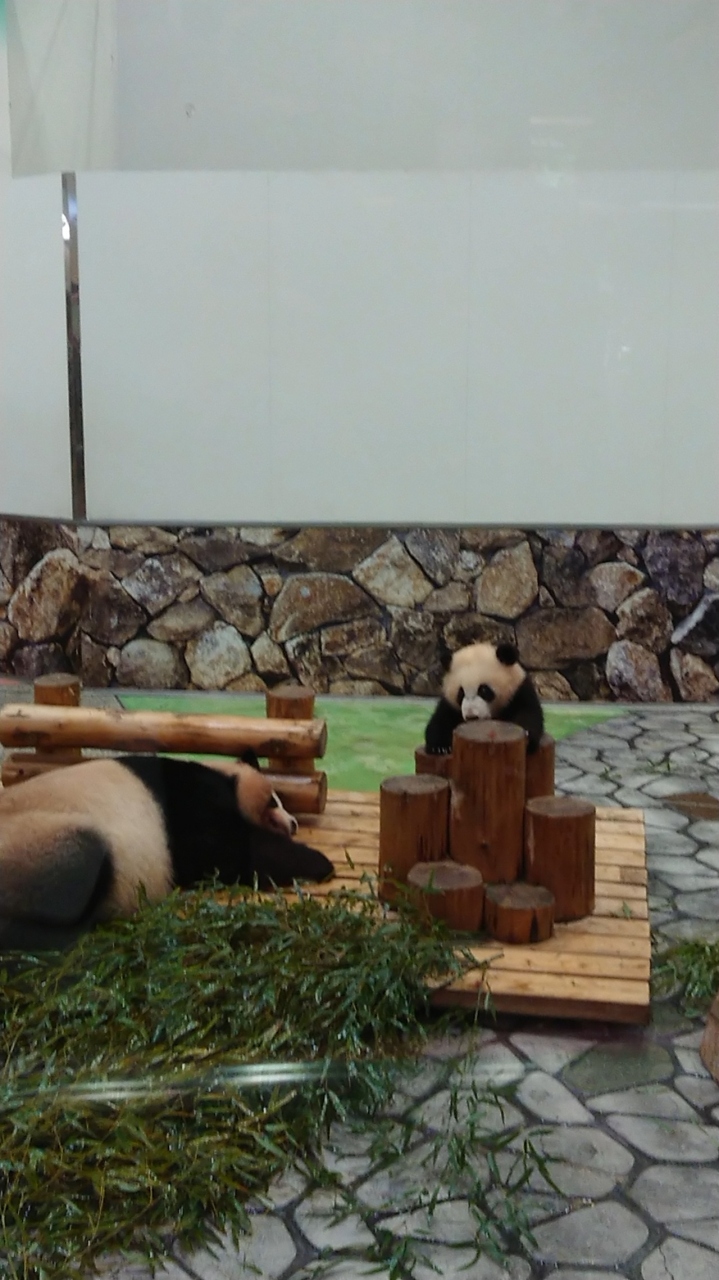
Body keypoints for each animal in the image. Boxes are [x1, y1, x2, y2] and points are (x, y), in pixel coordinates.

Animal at [0, 752, 332, 957]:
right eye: (272, 802)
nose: (293, 823)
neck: (224, 775)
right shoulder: (191, 802)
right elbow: (229, 850)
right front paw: (320, 863)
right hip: (36, 841)